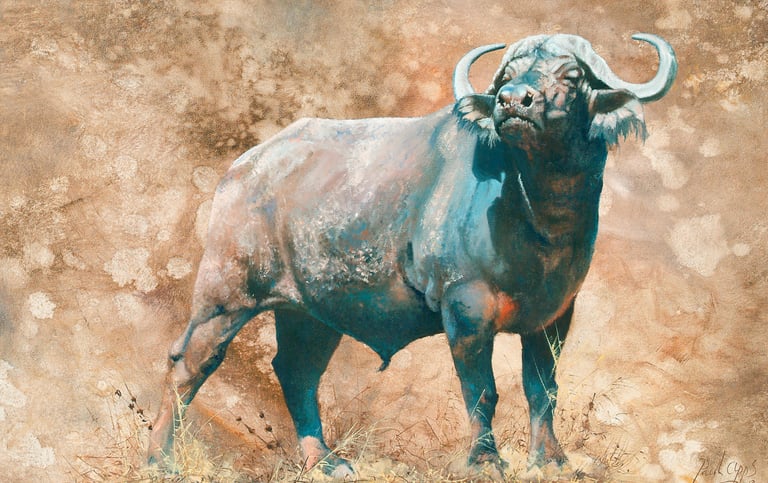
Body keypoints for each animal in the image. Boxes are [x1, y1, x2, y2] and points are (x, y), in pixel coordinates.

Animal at [148, 33, 677, 476]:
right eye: (508, 75)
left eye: (572, 76)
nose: (513, 102)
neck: (537, 217)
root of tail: (245, 168)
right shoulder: (466, 308)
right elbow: (482, 391)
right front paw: (485, 462)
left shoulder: (556, 314)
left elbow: (542, 389)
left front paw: (551, 461)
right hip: (225, 294)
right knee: (190, 364)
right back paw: (160, 460)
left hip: (310, 313)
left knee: (297, 371)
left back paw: (327, 462)